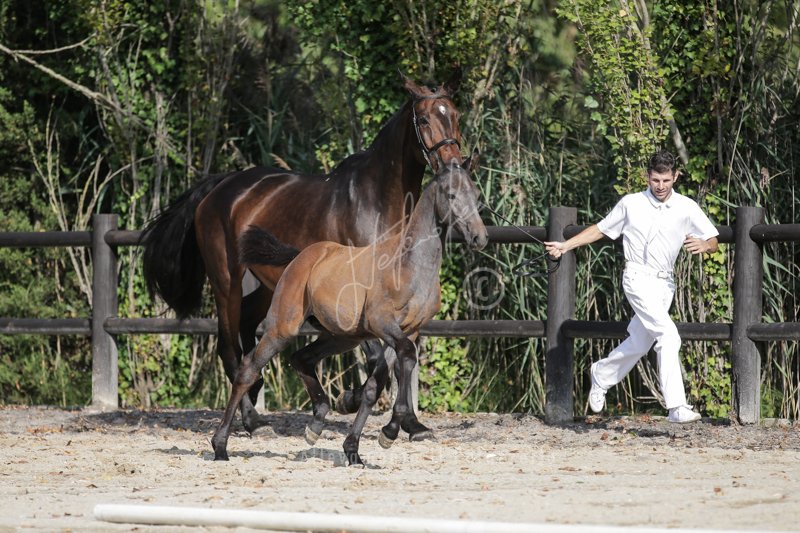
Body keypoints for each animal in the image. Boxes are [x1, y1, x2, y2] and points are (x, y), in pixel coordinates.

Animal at [141, 71, 466, 439]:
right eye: (424, 119)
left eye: (455, 115)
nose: (453, 166)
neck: (377, 201)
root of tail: (218, 187)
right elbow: (377, 356)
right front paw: (348, 400)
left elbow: (401, 357)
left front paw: (412, 424)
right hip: (227, 281)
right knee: (229, 347)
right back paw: (253, 420)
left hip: (270, 283)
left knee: (249, 328)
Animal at [211, 157, 488, 466]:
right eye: (451, 195)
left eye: (476, 195)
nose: (479, 237)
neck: (408, 266)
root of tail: (300, 256)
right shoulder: (384, 325)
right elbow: (403, 359)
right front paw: (390, 430)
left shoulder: (408, 331)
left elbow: (376, 384)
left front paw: (356, 447)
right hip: (283, 326)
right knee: (248, 369)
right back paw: (222, 445)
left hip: (341, 337)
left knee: (300, 358)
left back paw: (316, 423)